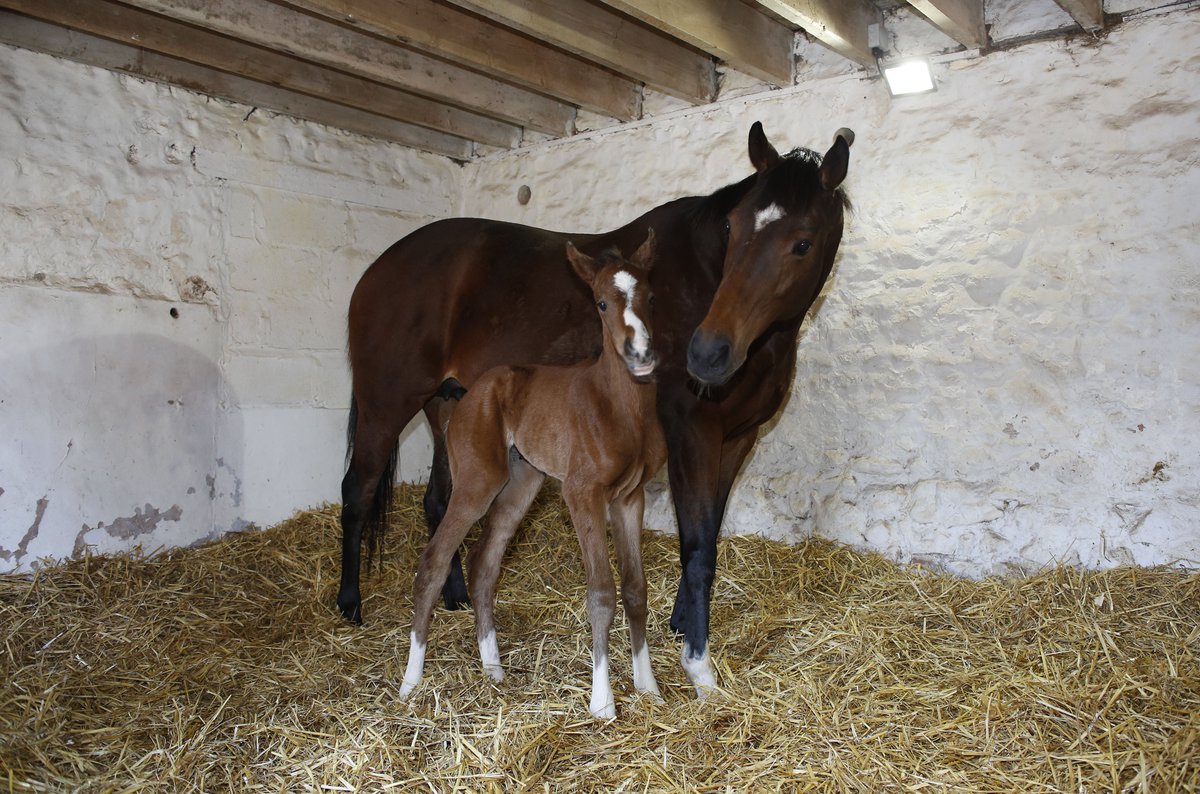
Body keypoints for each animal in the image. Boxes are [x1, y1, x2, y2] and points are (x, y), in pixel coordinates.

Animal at [397, 232, 664, 718]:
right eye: (600, 302)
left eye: (651, 296)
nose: (640, 355)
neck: (618, 407)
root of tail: (467, 396)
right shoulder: (583, 494)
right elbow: (601, 592)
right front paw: (603, 702)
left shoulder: (629, 497)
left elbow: (636, 589)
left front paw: (648, 687)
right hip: (477, 482)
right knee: (434, 562)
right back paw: (411, 683)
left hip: (521, 484)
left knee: (484, 563)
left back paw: (493, 670)